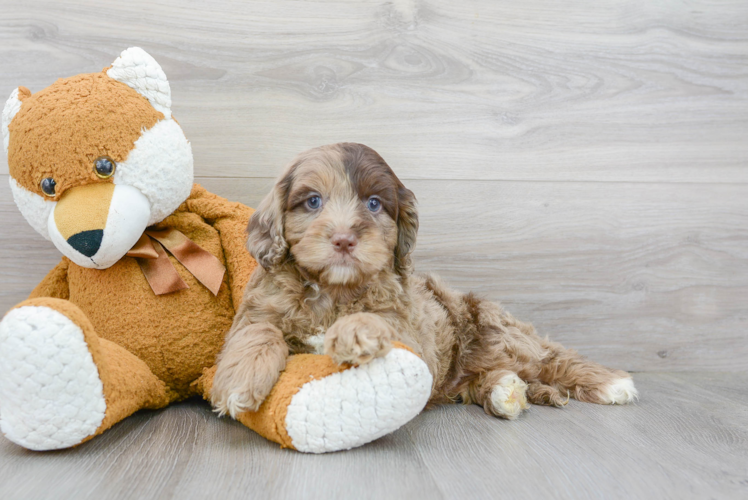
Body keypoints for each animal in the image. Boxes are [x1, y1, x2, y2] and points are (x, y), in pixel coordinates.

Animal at [212, 143, 636, 420]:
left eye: (374, 204)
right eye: (313, 201)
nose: (345, 239)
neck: (333, 290)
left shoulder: (409, 333)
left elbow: (377, 321)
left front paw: (354, 333)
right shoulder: (258, 311)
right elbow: (259, 332)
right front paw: (240, 382)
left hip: (496, 330)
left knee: (552, 357)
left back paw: (611, 383)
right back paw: (505, 391)